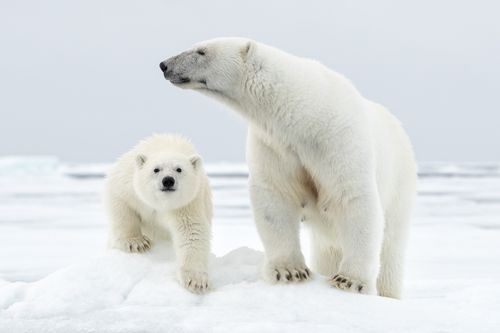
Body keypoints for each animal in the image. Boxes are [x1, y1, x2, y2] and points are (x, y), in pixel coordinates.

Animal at [104, 134, 212, 292]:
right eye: (156, 169)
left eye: (179, 169)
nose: (168, 180)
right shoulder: (128, 182)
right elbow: (121, 203)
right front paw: (136, 242)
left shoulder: (187, 203)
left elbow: (192, 231)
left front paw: (195, 280)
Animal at [160, 37, 418, 296]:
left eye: (201, 51)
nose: (164, 64)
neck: (306, 116)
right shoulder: (274, 145)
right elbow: (276, 197)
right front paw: (289, 271)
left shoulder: (339, 140)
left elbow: (353, 197)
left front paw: (349, 280)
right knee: (327, 250)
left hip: (401, 184)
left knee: (391, 246)